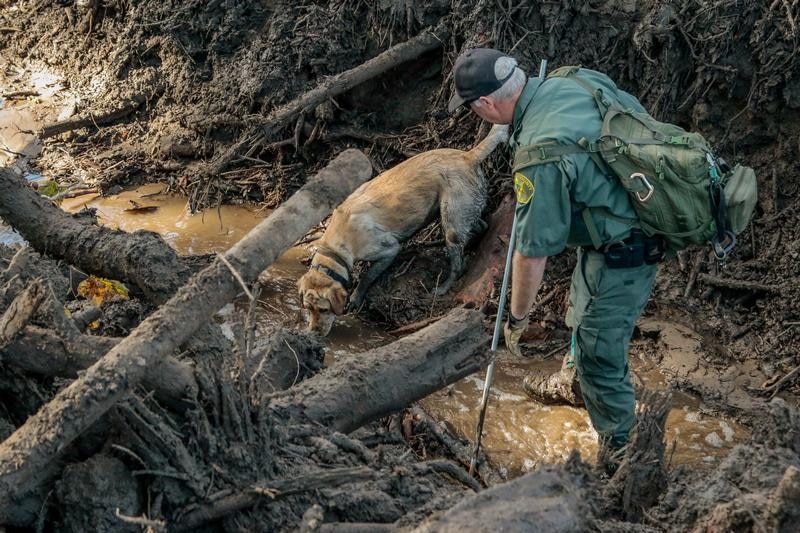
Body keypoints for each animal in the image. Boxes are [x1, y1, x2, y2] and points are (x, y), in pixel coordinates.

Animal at [296, 123, 510, 332]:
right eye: (308, 308)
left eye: (324, 309)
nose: (313, 332)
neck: (335, 246)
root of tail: (468, 156)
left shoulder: (389, 249)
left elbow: (367, 276)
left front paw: (356, 297)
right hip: (461, 213)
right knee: (482, 224)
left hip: (452, 223)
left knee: (457, 264)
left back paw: (443, 287)